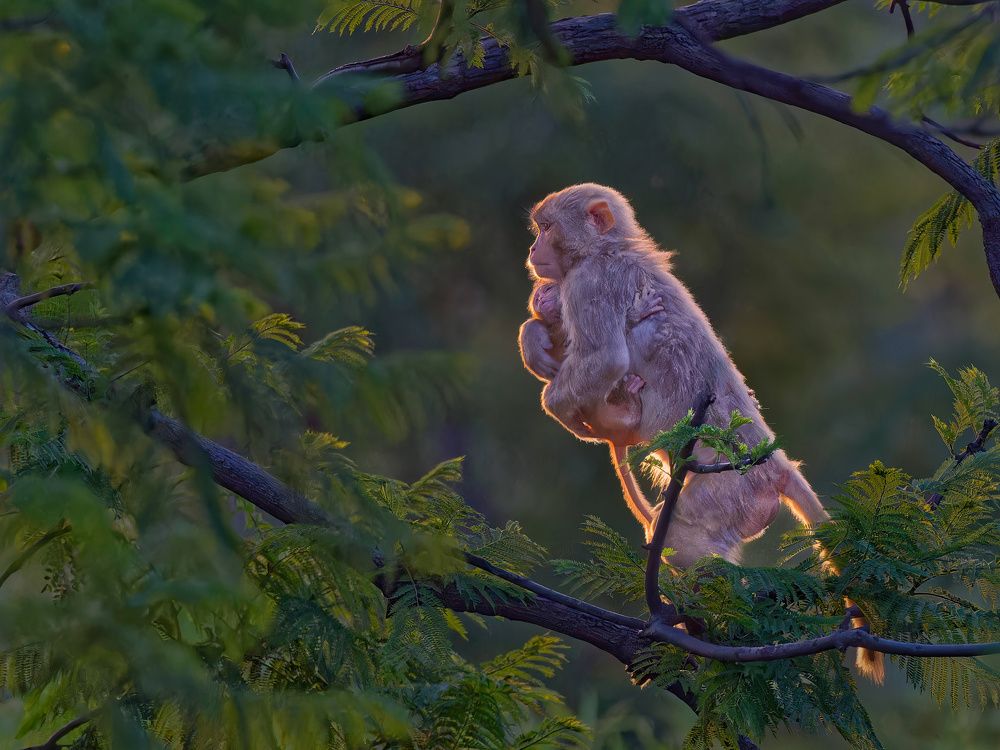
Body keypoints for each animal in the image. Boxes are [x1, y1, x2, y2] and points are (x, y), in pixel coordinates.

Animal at [523, 182, 884, 684]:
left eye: (546, 228)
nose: (532, 250)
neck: (610, 248)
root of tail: (776, 464)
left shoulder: (591, 283)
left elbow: (606, 359)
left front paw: (562, 410)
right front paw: (536, 343)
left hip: (735, 492)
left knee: (683, 536)